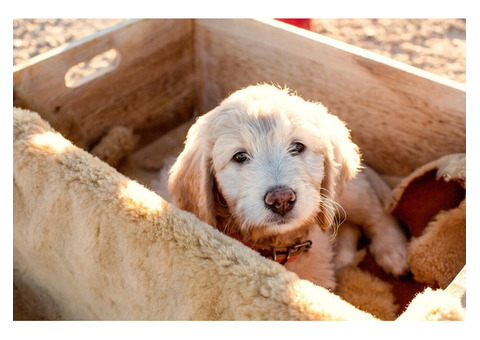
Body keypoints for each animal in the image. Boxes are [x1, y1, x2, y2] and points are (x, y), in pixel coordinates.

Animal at [167, 83, 406, 288]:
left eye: (297, 147)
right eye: (240, 156)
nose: (281, 200)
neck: (278, 247)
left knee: (376, 213)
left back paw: (393, 251)